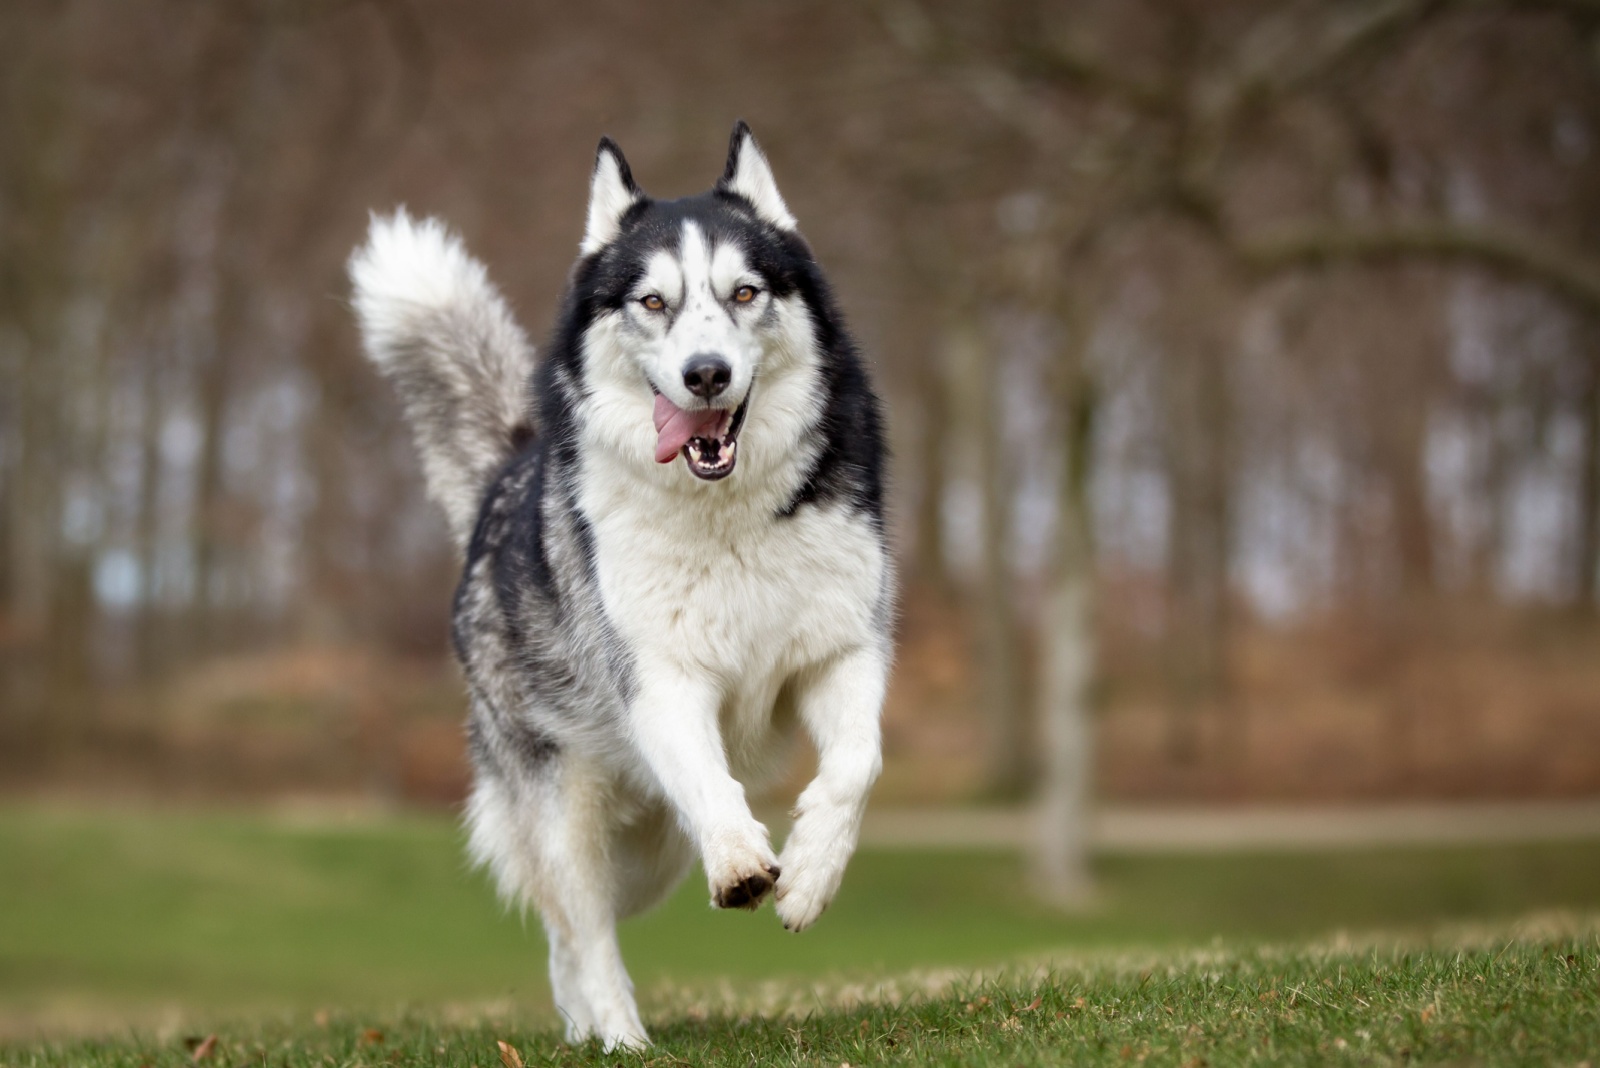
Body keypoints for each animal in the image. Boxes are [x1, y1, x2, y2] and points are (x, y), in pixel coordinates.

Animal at [350, 123, 896, 1042]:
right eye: (651, 302)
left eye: (744, 292)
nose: (707, 373)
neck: (723, 514)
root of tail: (509, 471)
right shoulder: (660, 682)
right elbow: (711, 785)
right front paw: (742, 859)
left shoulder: (842, 651)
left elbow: (858, 764)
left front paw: (813, 873)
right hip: (568, 810)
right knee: (579, 921)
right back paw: (617, 1037)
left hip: (650, 852)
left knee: (576, 925)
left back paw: (582, 1024)